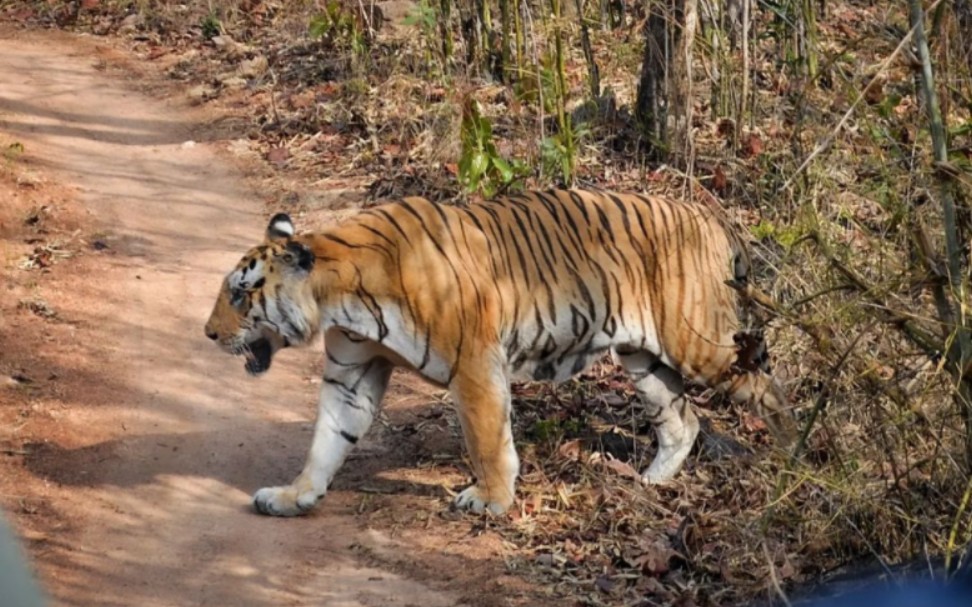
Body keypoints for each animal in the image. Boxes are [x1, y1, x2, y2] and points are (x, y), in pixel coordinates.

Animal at [201, 188, 792, 516]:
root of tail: (708, 212)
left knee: (769, 391)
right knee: (682, 420)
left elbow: (486, 438)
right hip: (643, 359)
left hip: (701, 344)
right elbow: (326, 441)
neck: (338, 297)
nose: (208, 334)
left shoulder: (473, 363)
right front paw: (294, 496)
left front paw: (489, 501)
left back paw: (797, 456)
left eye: (241, 294)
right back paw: (650, 482)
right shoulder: (352, 371)